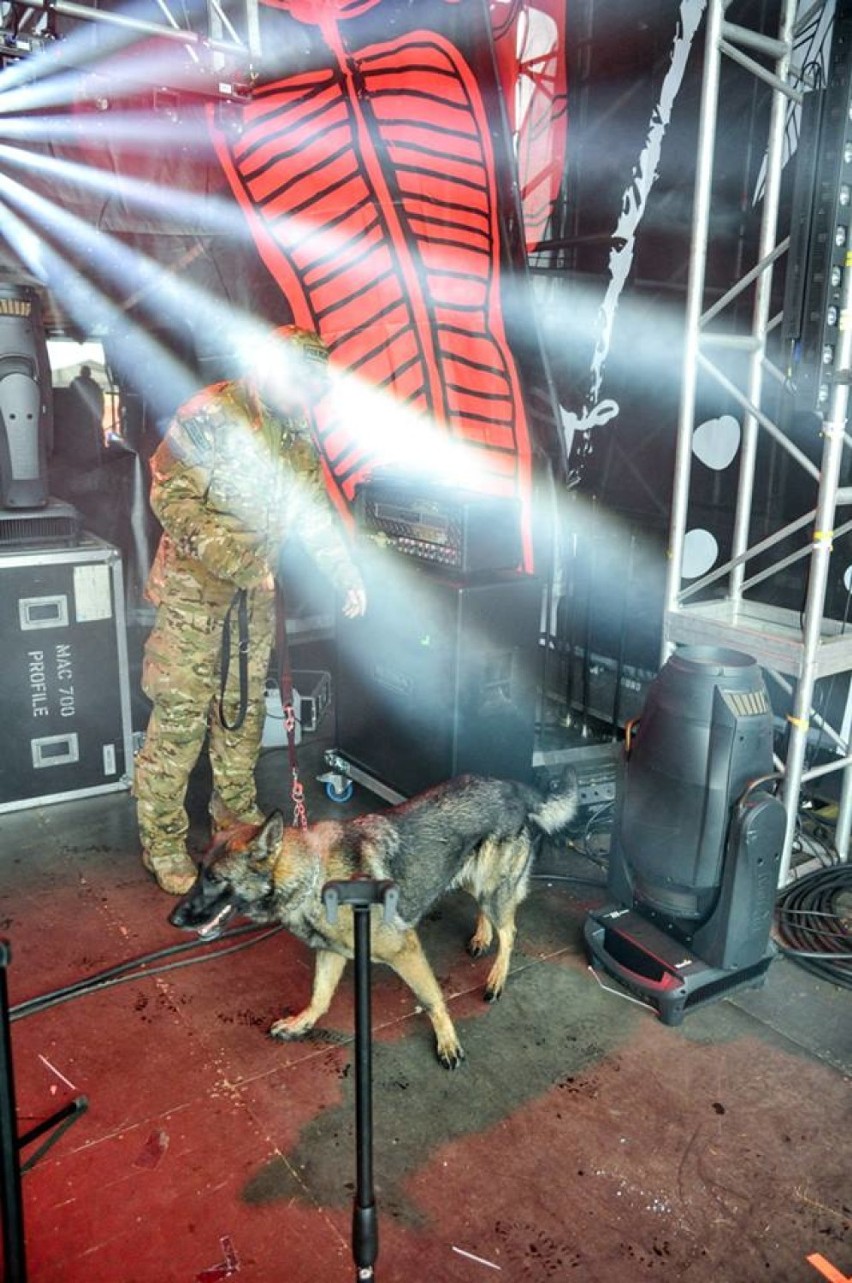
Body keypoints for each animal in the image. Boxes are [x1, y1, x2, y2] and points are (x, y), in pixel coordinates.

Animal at [169, 769, 574, 1062]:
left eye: (216, 880)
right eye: (199, 872)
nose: (173, 920)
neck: (314, 876)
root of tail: (511, 786)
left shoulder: (406, 951)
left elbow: (431, 998)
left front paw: (447, 1042)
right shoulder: (331, 952)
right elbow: (320, 996)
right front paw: (302, 1023)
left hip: (493, 887)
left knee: (511, 931)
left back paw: (496, 978)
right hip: (473, 878)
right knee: (490, 917)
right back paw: (481, 937)